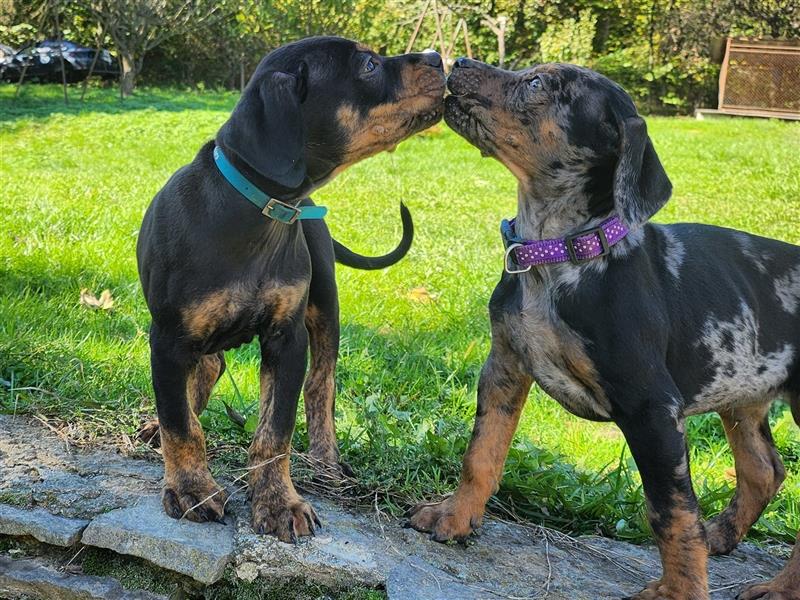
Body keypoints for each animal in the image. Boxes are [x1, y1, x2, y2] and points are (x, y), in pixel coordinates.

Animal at [137, 38, 444, 544]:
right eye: (369, 65)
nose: (439, 57)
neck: (255, 212)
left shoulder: (287, 339)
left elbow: (275, 431)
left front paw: (279, 502)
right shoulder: (168, 339)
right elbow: (180, 423)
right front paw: (191, 488)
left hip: (324, 308)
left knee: (321, 387)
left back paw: (326, 461)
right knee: (207, 370)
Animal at [406, 59, 800, 600]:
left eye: (538, 84)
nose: (460, 62)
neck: (556, 254)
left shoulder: (653, 408)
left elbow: (671, 511)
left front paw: (680, 591)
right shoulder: (504, 366)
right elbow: (481, 452)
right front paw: (455, 516)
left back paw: (779, 586)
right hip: (743, 392)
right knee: (764, 470)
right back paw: (720, 534)